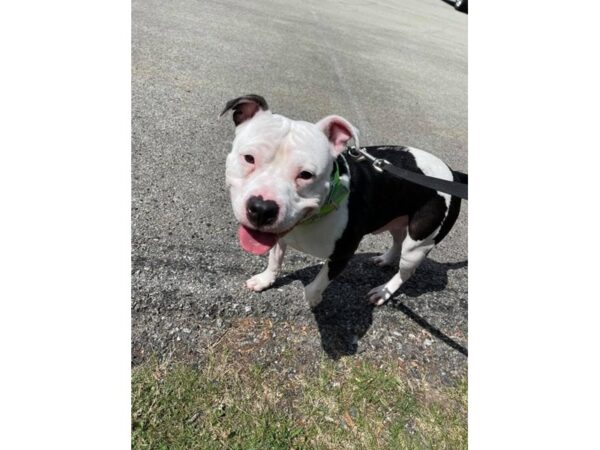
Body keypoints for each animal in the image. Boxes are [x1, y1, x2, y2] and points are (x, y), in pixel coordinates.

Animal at [219, 93, 464, 308]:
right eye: (249, 158)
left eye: (306, 175)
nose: (262, 208)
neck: (314, 215)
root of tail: (453, 173)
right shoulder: (279, 234)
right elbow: (275, 258)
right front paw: (265, 279)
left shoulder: (342, 254)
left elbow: (318, 283)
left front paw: (312, 299)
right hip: (397, 217)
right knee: (397, 238)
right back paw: (385, 259)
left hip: (418, 245)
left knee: (406, 270)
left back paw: (384, 291)